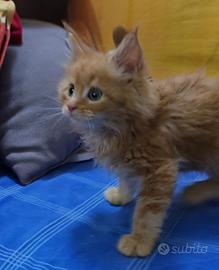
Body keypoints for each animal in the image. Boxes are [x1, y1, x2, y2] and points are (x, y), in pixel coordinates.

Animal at [59, 22, 219, 255]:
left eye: (95, 94)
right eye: (70, 90)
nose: (70, 107)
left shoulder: (160, 169)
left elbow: (147, 212)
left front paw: (139, 240)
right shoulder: (128, 162)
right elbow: (126, 179)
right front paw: (122, 195)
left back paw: (195, 192)